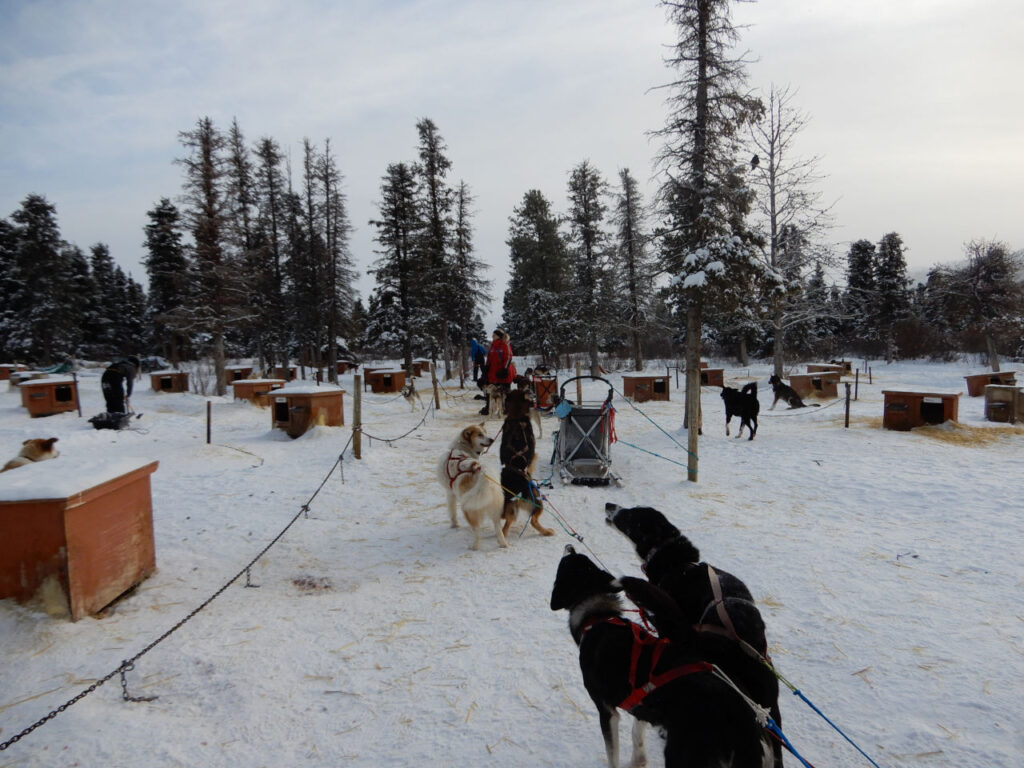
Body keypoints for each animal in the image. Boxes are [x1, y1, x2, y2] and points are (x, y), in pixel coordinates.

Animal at [552, 544, 770, 765]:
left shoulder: (606, 711)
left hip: (681, 753)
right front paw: (638, 762)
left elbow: (613, 755)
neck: (598, 617)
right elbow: (637, 738)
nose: (570, 546)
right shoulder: (640, 706)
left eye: (568, 560)